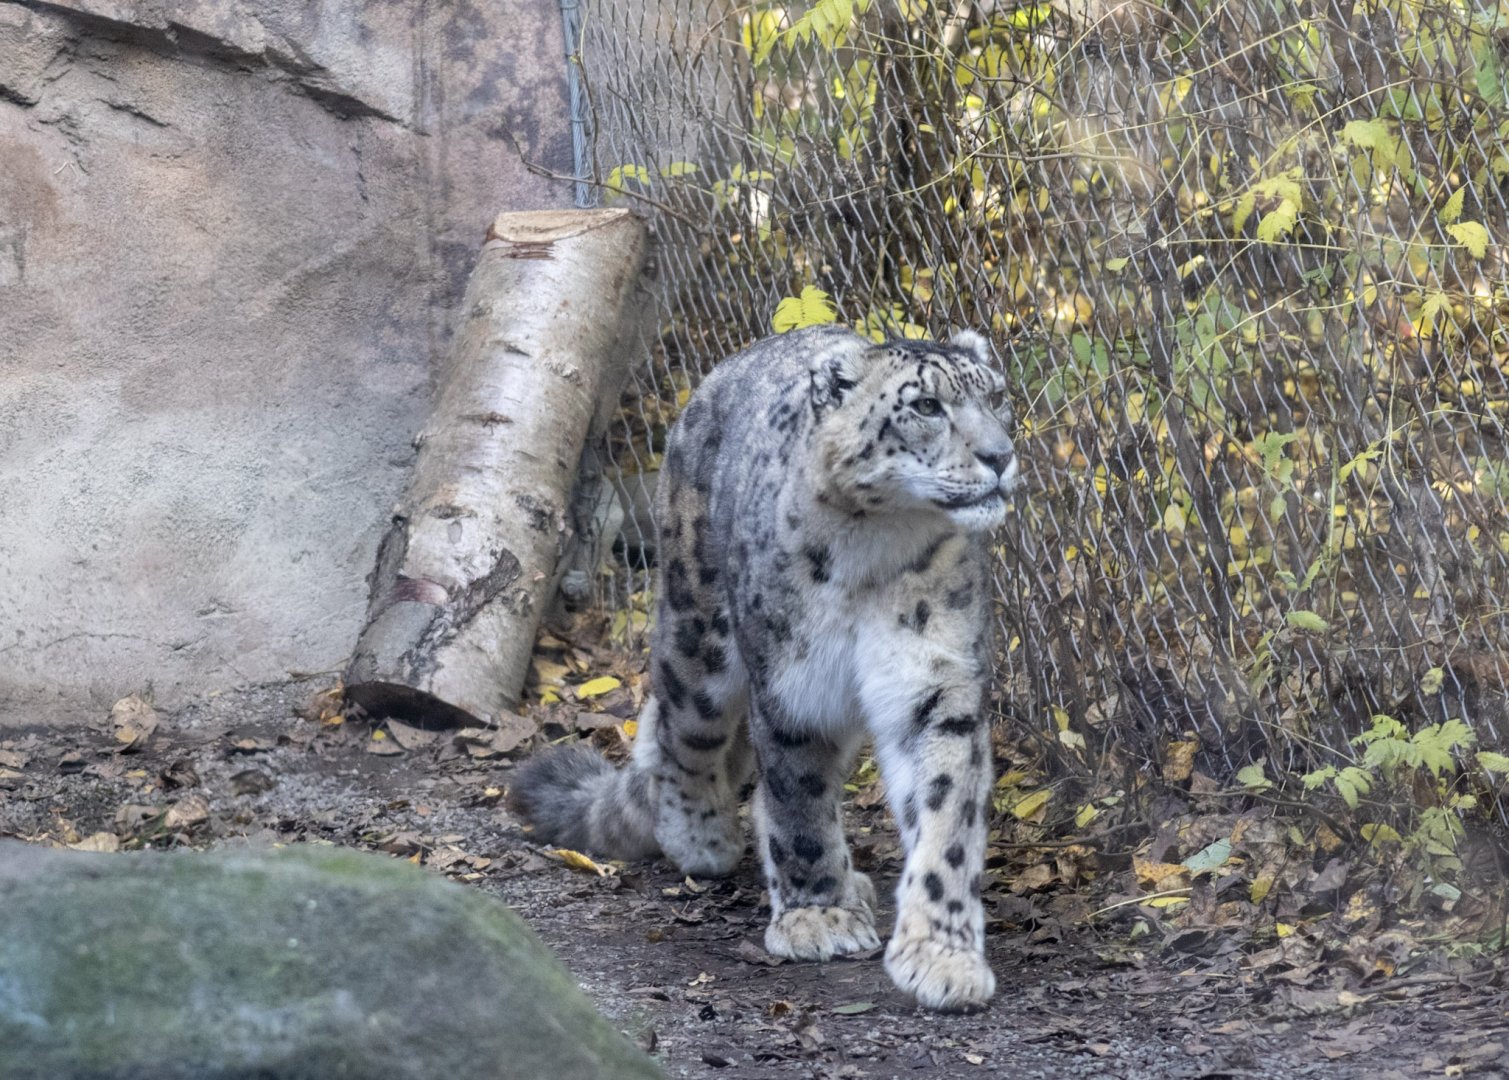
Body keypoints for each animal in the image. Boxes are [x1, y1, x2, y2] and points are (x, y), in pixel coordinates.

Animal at [510, 324, 1019, 1011]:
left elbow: (945, 815)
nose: (1001, 456)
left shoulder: (935, 686)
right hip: (698, 631)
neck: (880, 549)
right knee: (680, 727)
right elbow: (797, 800)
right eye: (926, 406)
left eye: (997, 397)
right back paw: (700, 837)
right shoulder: (792, 686)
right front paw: (818, 917)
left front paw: (942, 955)